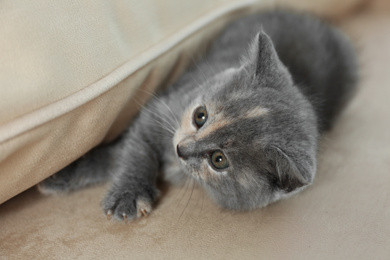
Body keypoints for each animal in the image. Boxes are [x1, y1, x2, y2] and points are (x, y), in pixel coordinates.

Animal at [38, 10, 356, 221]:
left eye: (219, 160)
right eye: (200, 116)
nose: (181, 149)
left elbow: (123, 153)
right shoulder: (160, 112)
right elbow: (132, 152)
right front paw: (121, 189)